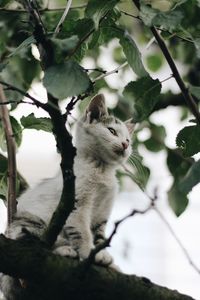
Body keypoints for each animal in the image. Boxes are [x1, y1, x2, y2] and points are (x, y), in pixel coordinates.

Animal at [1, 94, 134, 298]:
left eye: (128, 139)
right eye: (111, 131)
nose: (126, 145)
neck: (101, 169)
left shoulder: (102, 213)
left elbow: (99, 236)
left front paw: (104, 258)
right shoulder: (76, 204)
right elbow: (83, 232)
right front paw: (89, 253)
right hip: (29, 222)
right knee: (32, 242)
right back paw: (64, 250)